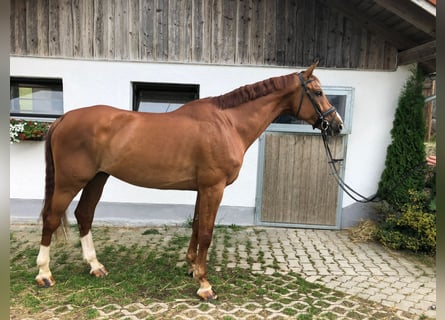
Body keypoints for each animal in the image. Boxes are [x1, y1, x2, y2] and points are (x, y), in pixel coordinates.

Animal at [36, 62, 342, 300]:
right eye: (318, 92)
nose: (336, 125)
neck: (227, 123)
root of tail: (63, 118)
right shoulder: (213, 188)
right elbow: (206, 232)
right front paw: (205, 285)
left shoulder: (201, 189)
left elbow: (196, 226)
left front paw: (193, 268)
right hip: (69, 182)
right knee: (51, 218)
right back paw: (44, 273)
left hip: (97, 178)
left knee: (84, 214)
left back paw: (95, 266)